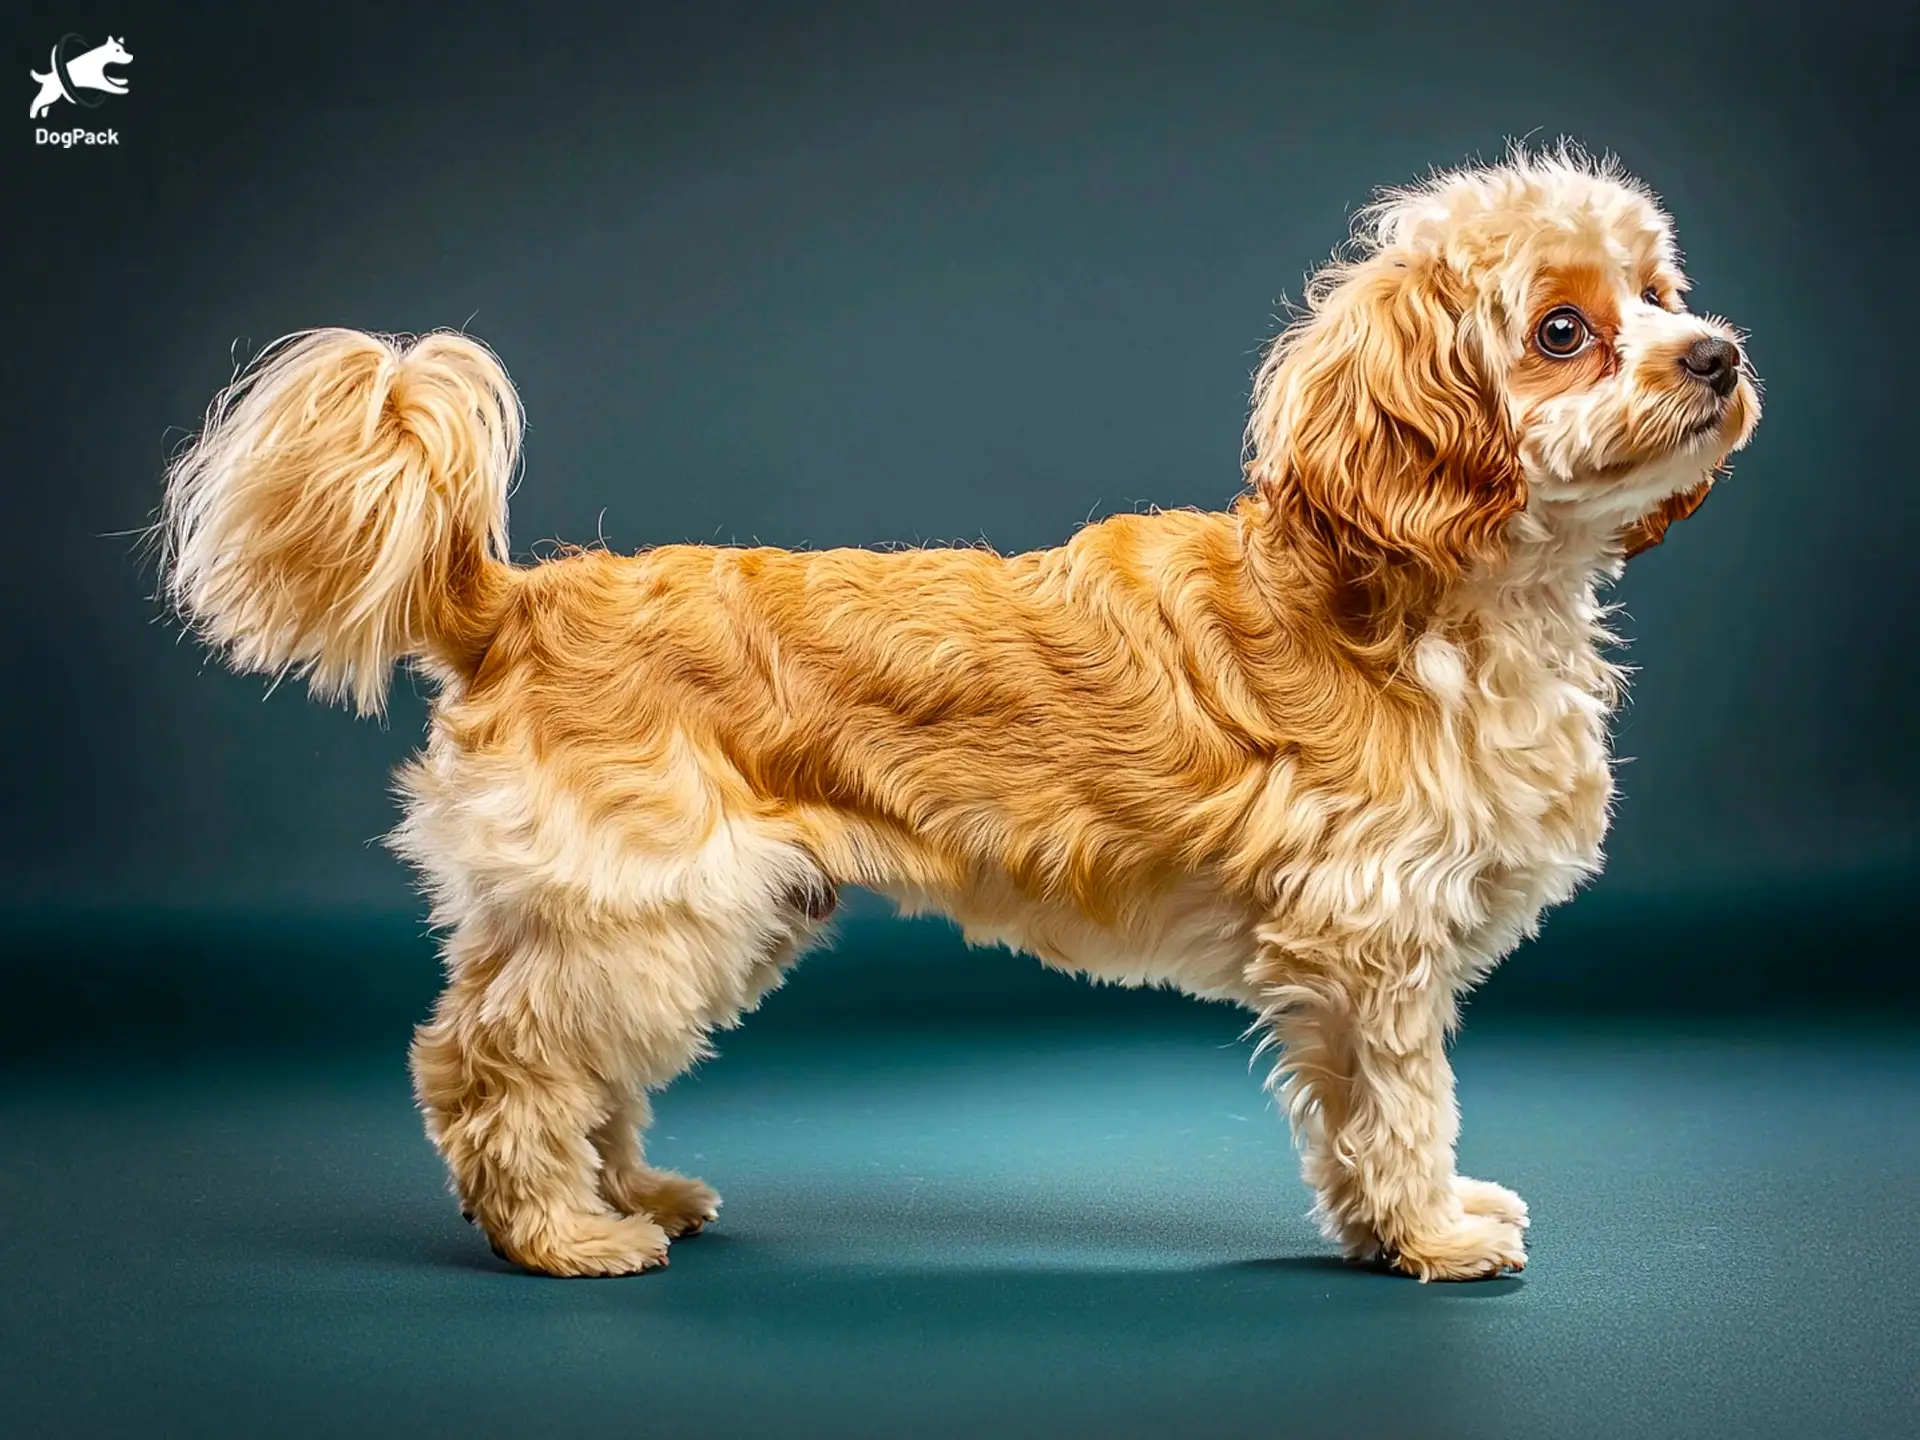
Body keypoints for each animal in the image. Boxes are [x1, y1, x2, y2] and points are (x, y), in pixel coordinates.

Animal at [161, 146, 1758, 1282]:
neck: (1432, 597)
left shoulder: (1367, 957)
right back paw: (564, 1236)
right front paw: (1431, 1236)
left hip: (669, 918)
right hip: (644, 910)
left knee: (566, 1064)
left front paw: (1398, 1229)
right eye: (1563, 329)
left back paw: (635, 1193)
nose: (1717, 354)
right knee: (489, 1066)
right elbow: (1402, 1107)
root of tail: (515, 602)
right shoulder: (1369, 945)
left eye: (1667, 290)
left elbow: (1373, 1122)